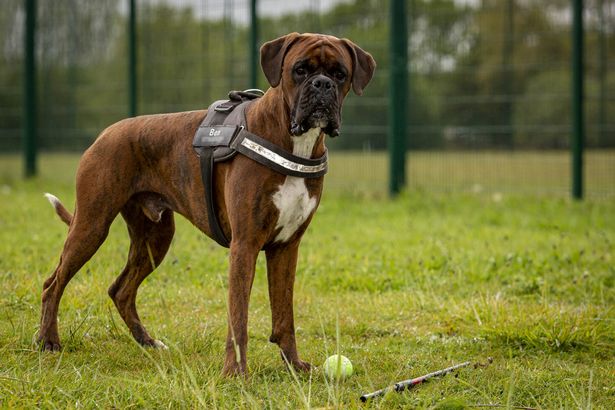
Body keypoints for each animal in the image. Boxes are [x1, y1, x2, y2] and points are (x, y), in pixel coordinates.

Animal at [41, 32, 376, 376]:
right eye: (300, 70)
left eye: (340, 74)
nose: (322, 85)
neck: (294, 141)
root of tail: (107, 132)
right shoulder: (245, 245)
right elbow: (238, 317)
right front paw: (235, 372)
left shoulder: (286, 247)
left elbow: (285, 315)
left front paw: (294, 365)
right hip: (92, 225)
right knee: (53, 284)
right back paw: (49, 341)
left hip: (155, 239)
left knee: (120, 290)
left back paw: (148, 342)